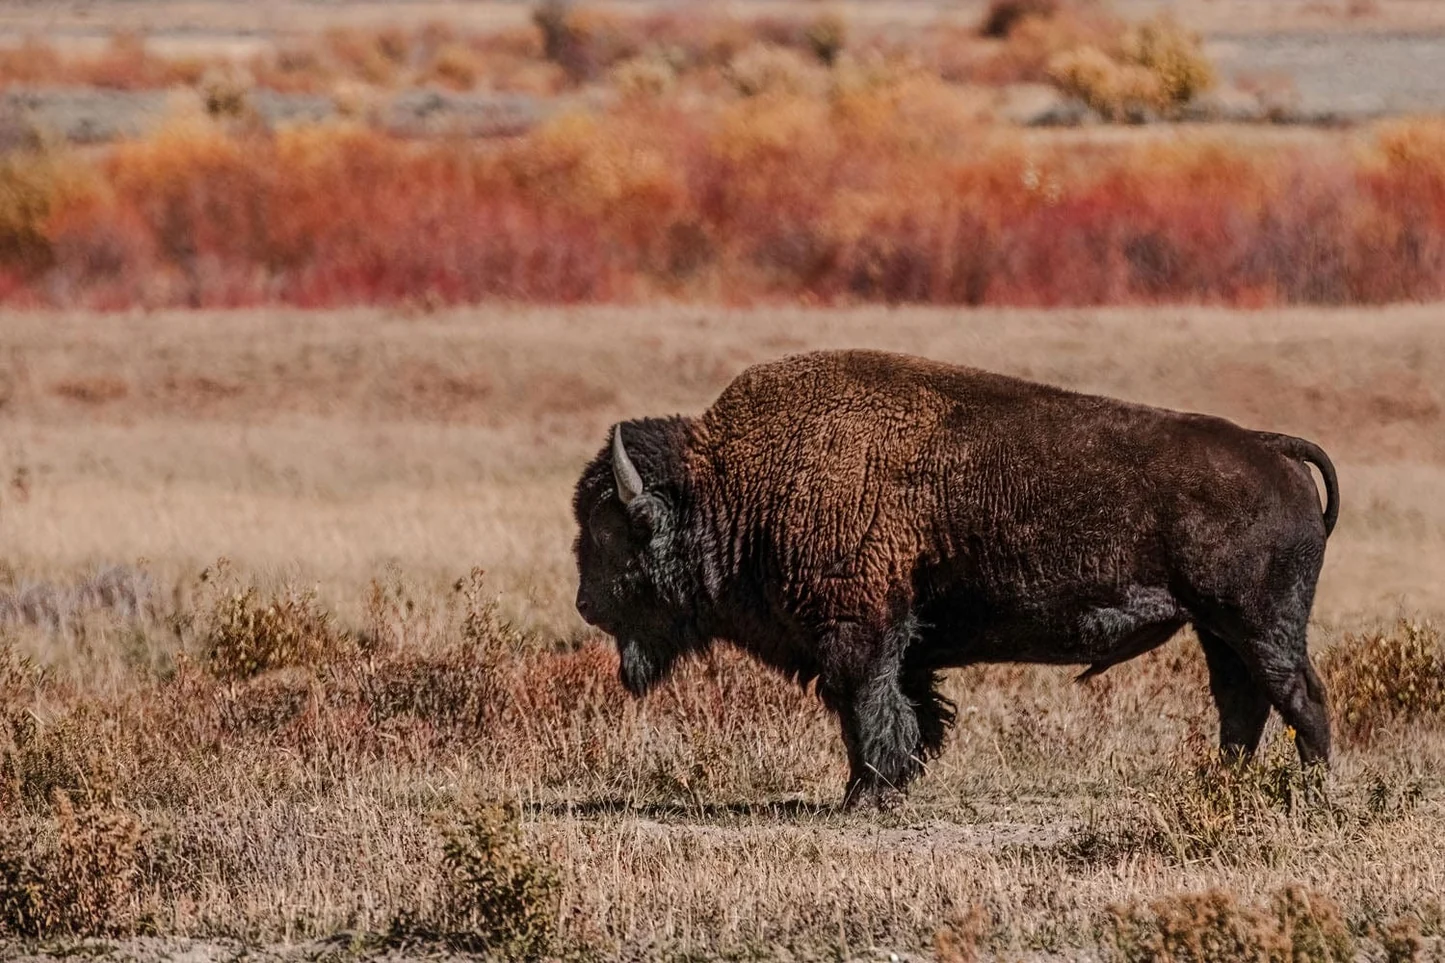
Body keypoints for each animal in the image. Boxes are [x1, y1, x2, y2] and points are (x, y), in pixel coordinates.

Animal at [572, 349, 1339, 807]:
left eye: (609, 531)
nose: (583, 603)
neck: (736, 484)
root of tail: (1268, 447)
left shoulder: (858, 634)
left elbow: (867, 710)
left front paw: (862, 796)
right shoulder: (902, 643)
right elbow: (909, 711)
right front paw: (891, 784)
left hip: (1257, 624)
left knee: (1299, 697)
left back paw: (1312, 790)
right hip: (1218, 629)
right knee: (1243, 704)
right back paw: (1225, 784)